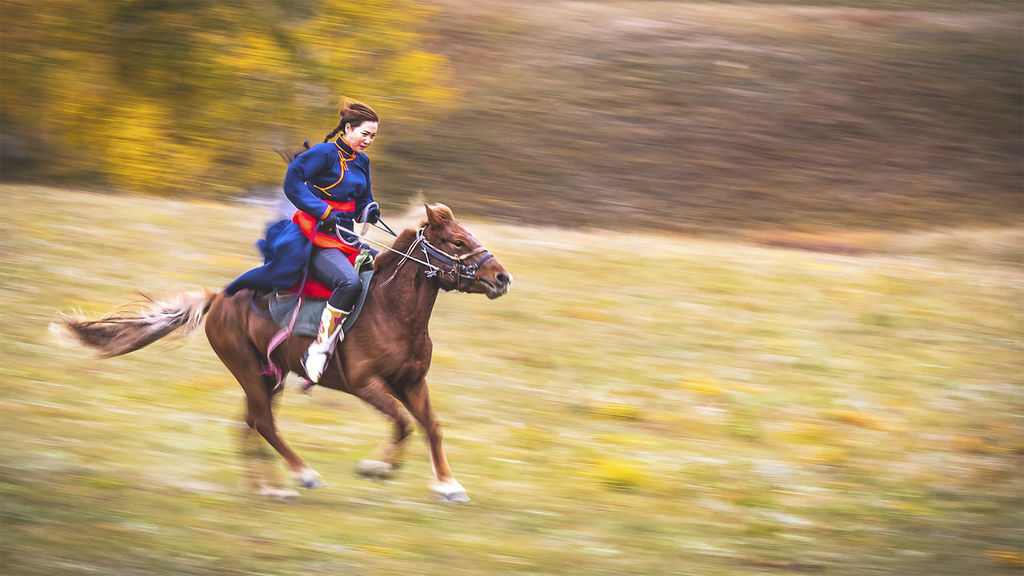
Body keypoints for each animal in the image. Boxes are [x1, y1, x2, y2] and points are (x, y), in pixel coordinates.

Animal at [61, 202, 509, 498]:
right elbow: (402, 424)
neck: (394, 313)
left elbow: (431, 426)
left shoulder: (412, 383)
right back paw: (301, 475)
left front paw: (448, 484)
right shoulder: (366, 384)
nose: (502, 277)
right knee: (263, 424)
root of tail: (219, 298)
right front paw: (377, 467)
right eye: (457, 241)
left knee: (249, 425)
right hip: (247, 368)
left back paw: (269, 487)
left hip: (267, 376)